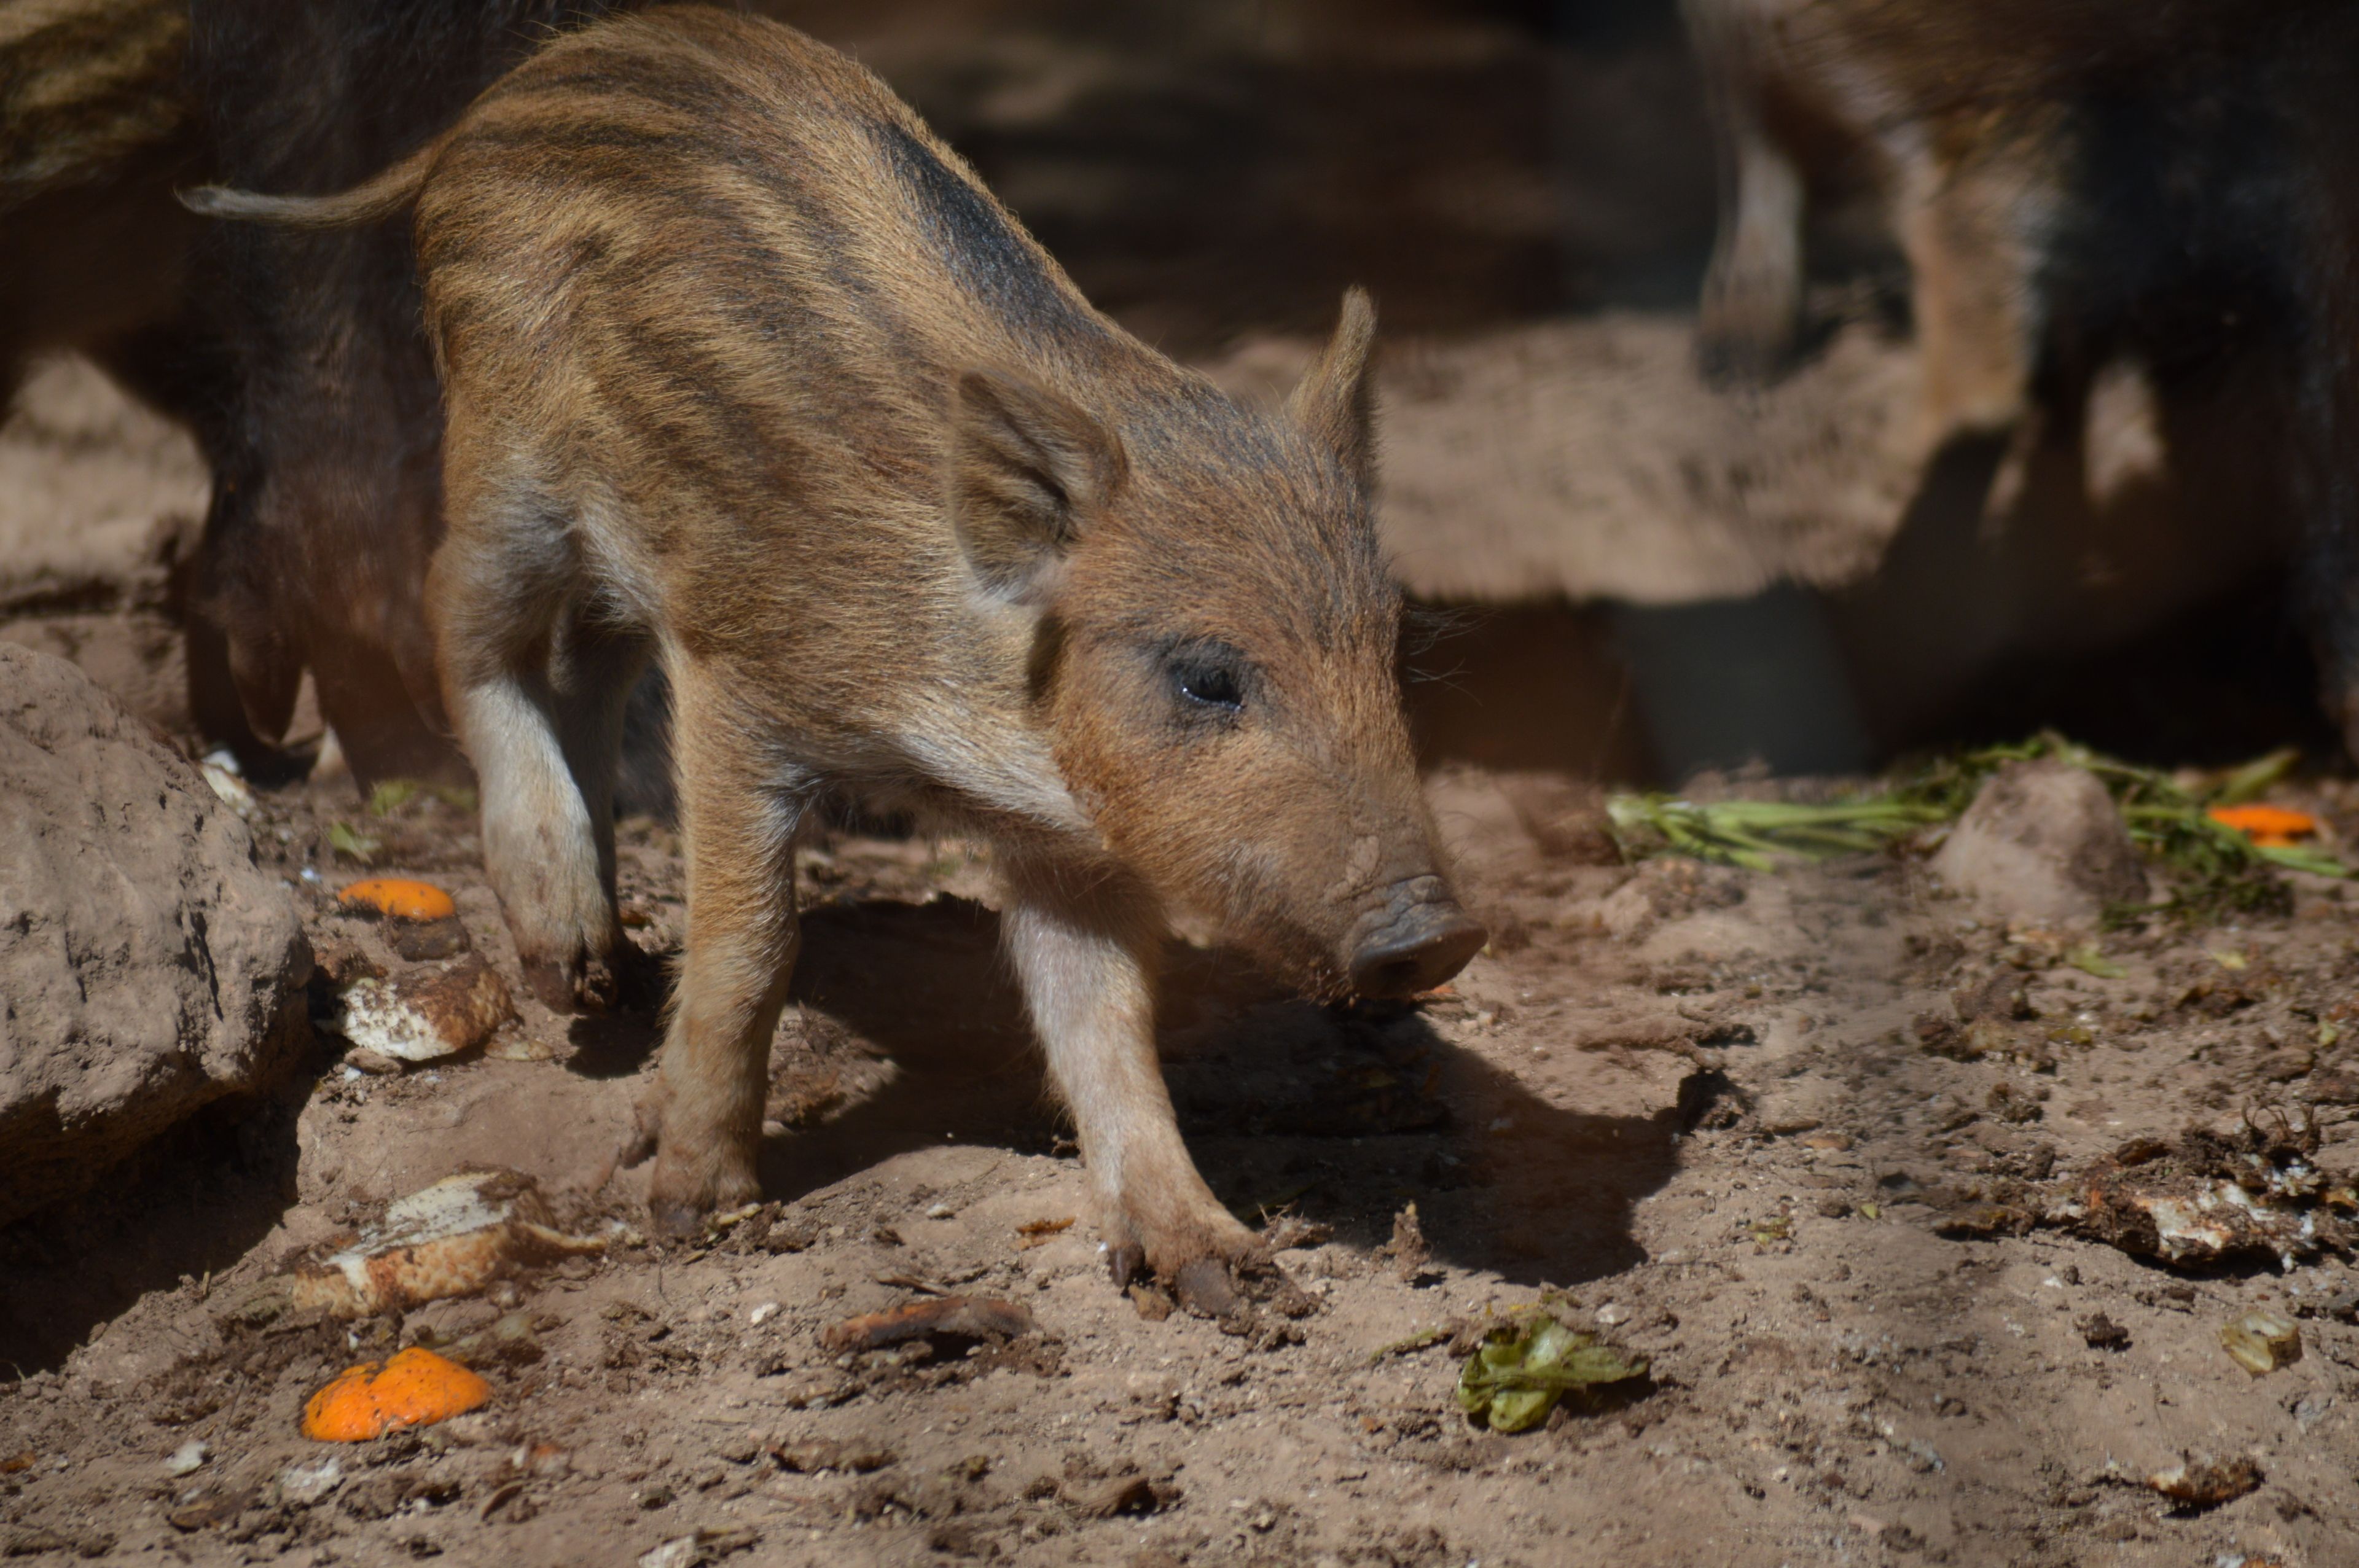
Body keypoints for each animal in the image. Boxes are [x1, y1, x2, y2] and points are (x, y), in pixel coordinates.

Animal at [188, 5, 1487, 1308]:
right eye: (1207, 676)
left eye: (1388, 656)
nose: (1440, 932)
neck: (980, 709)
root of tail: (515, 91)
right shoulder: (736, 679)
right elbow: (754, 944)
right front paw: (691, 1206)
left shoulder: (1069, 843)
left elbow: (1108, 1018)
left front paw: (1221, 1267)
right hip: (505, 456)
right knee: (458, 613)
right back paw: (568, 950)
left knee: (592, 664)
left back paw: (607, 972)